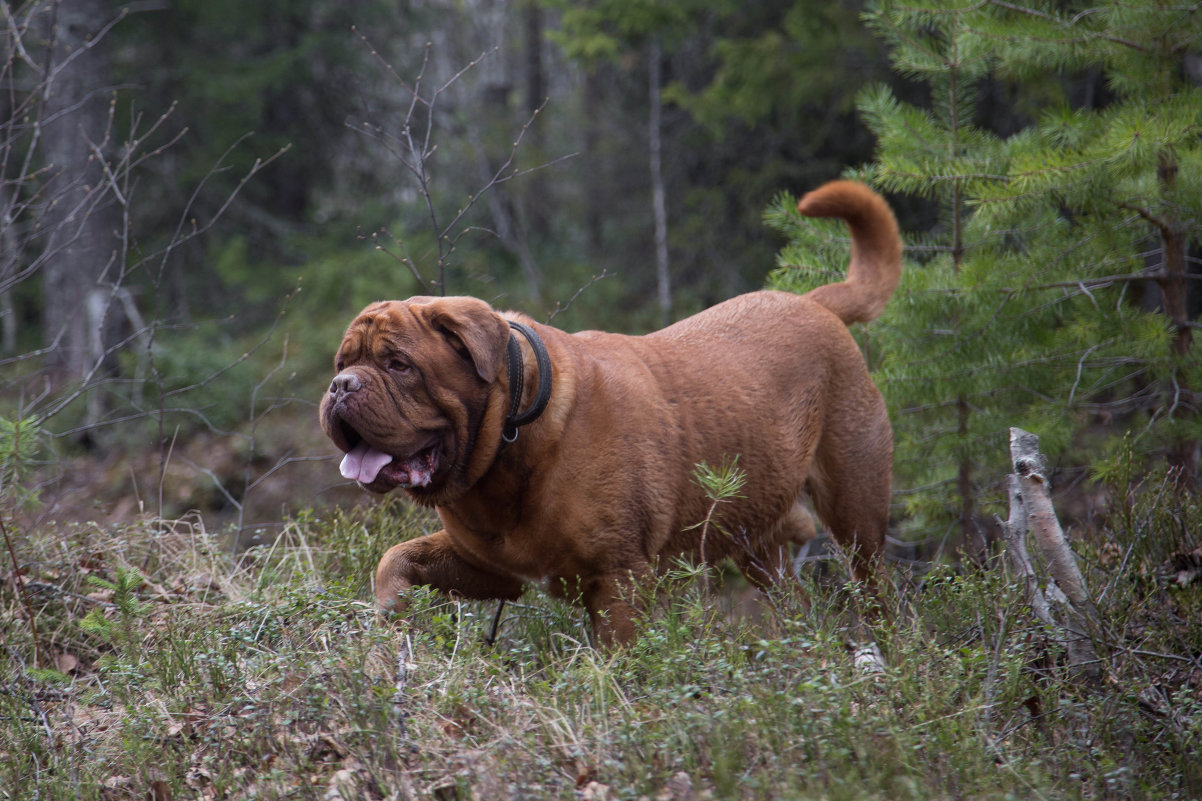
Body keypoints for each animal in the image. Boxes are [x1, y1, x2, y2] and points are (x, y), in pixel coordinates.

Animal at [319, 179, 903, 644]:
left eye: (398, 364)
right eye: (343, 362)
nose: (340, 387)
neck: (511, 444)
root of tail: (814, 302)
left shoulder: (620, 579)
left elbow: (619, 659)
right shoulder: (488, 567)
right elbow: (396, 557)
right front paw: (389, 619)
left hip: (855, 505)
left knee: (877, 590)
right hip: (758, 539)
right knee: (794, 603)